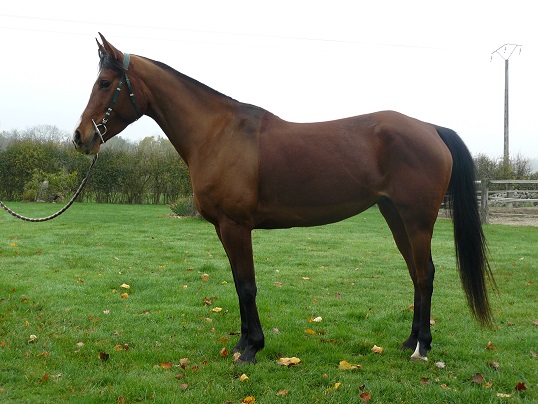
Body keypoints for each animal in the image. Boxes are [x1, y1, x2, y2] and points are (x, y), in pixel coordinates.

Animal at [73, 34, 492, 362]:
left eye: (106, 83)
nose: (81, 137)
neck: (218, 133)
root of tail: (430, 129)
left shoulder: (236, 226)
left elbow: (247, 285)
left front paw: (251, 348)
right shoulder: (224, 229)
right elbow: (238, 283)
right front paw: (242, 342)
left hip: (418, 220)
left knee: (425, 273)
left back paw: (423, 347)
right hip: (395, 216)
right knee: (415, 274)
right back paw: (409, 341)